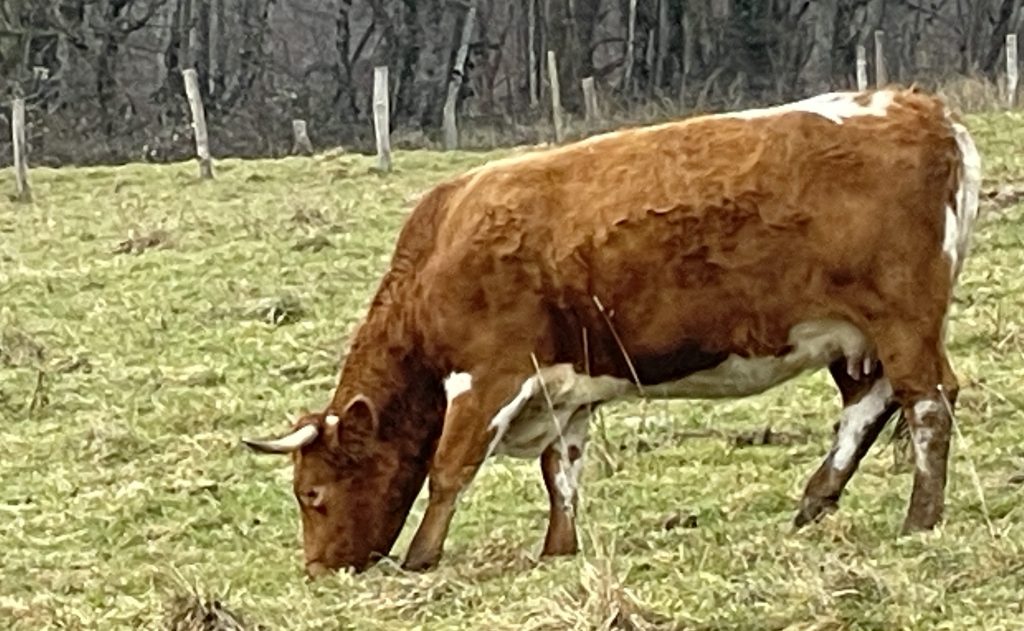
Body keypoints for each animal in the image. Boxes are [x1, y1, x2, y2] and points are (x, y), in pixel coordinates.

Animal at [242, 87, 982, 578]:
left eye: (312, 494)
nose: (318, 569)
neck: (443, 247)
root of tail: (918, 106)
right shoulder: (563, 392)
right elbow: (561, 472)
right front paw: (557, 549)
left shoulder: (489, 375)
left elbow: (450, 468)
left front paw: (421, 558)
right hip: (856, 336)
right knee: (868, 405)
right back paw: (815, 501)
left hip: (902, 320)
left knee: (927, 403)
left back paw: (919, 518)